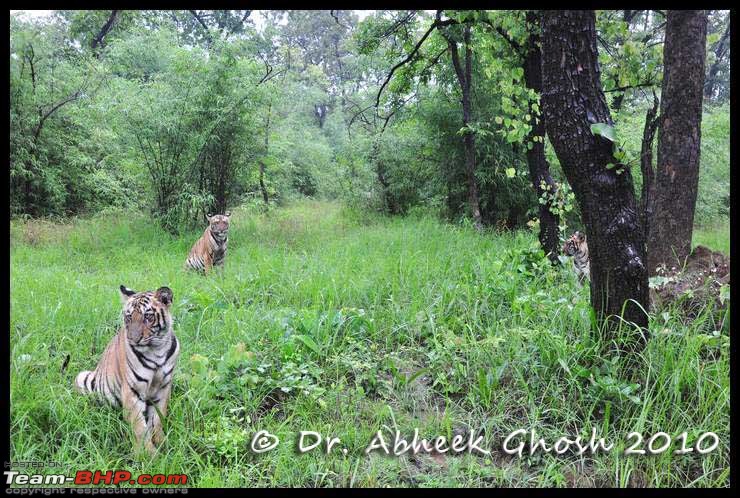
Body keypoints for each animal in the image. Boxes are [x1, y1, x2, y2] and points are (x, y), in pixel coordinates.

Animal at [74, 286, 180, 454]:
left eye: (148, 316)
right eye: (129, 317)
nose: (133, 339)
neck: (156, 350)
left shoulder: (163, 388)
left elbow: (157, 420)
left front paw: (163, 444)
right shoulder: (132, 390)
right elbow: (139, 428)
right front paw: (147, 455)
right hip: (83, 378)